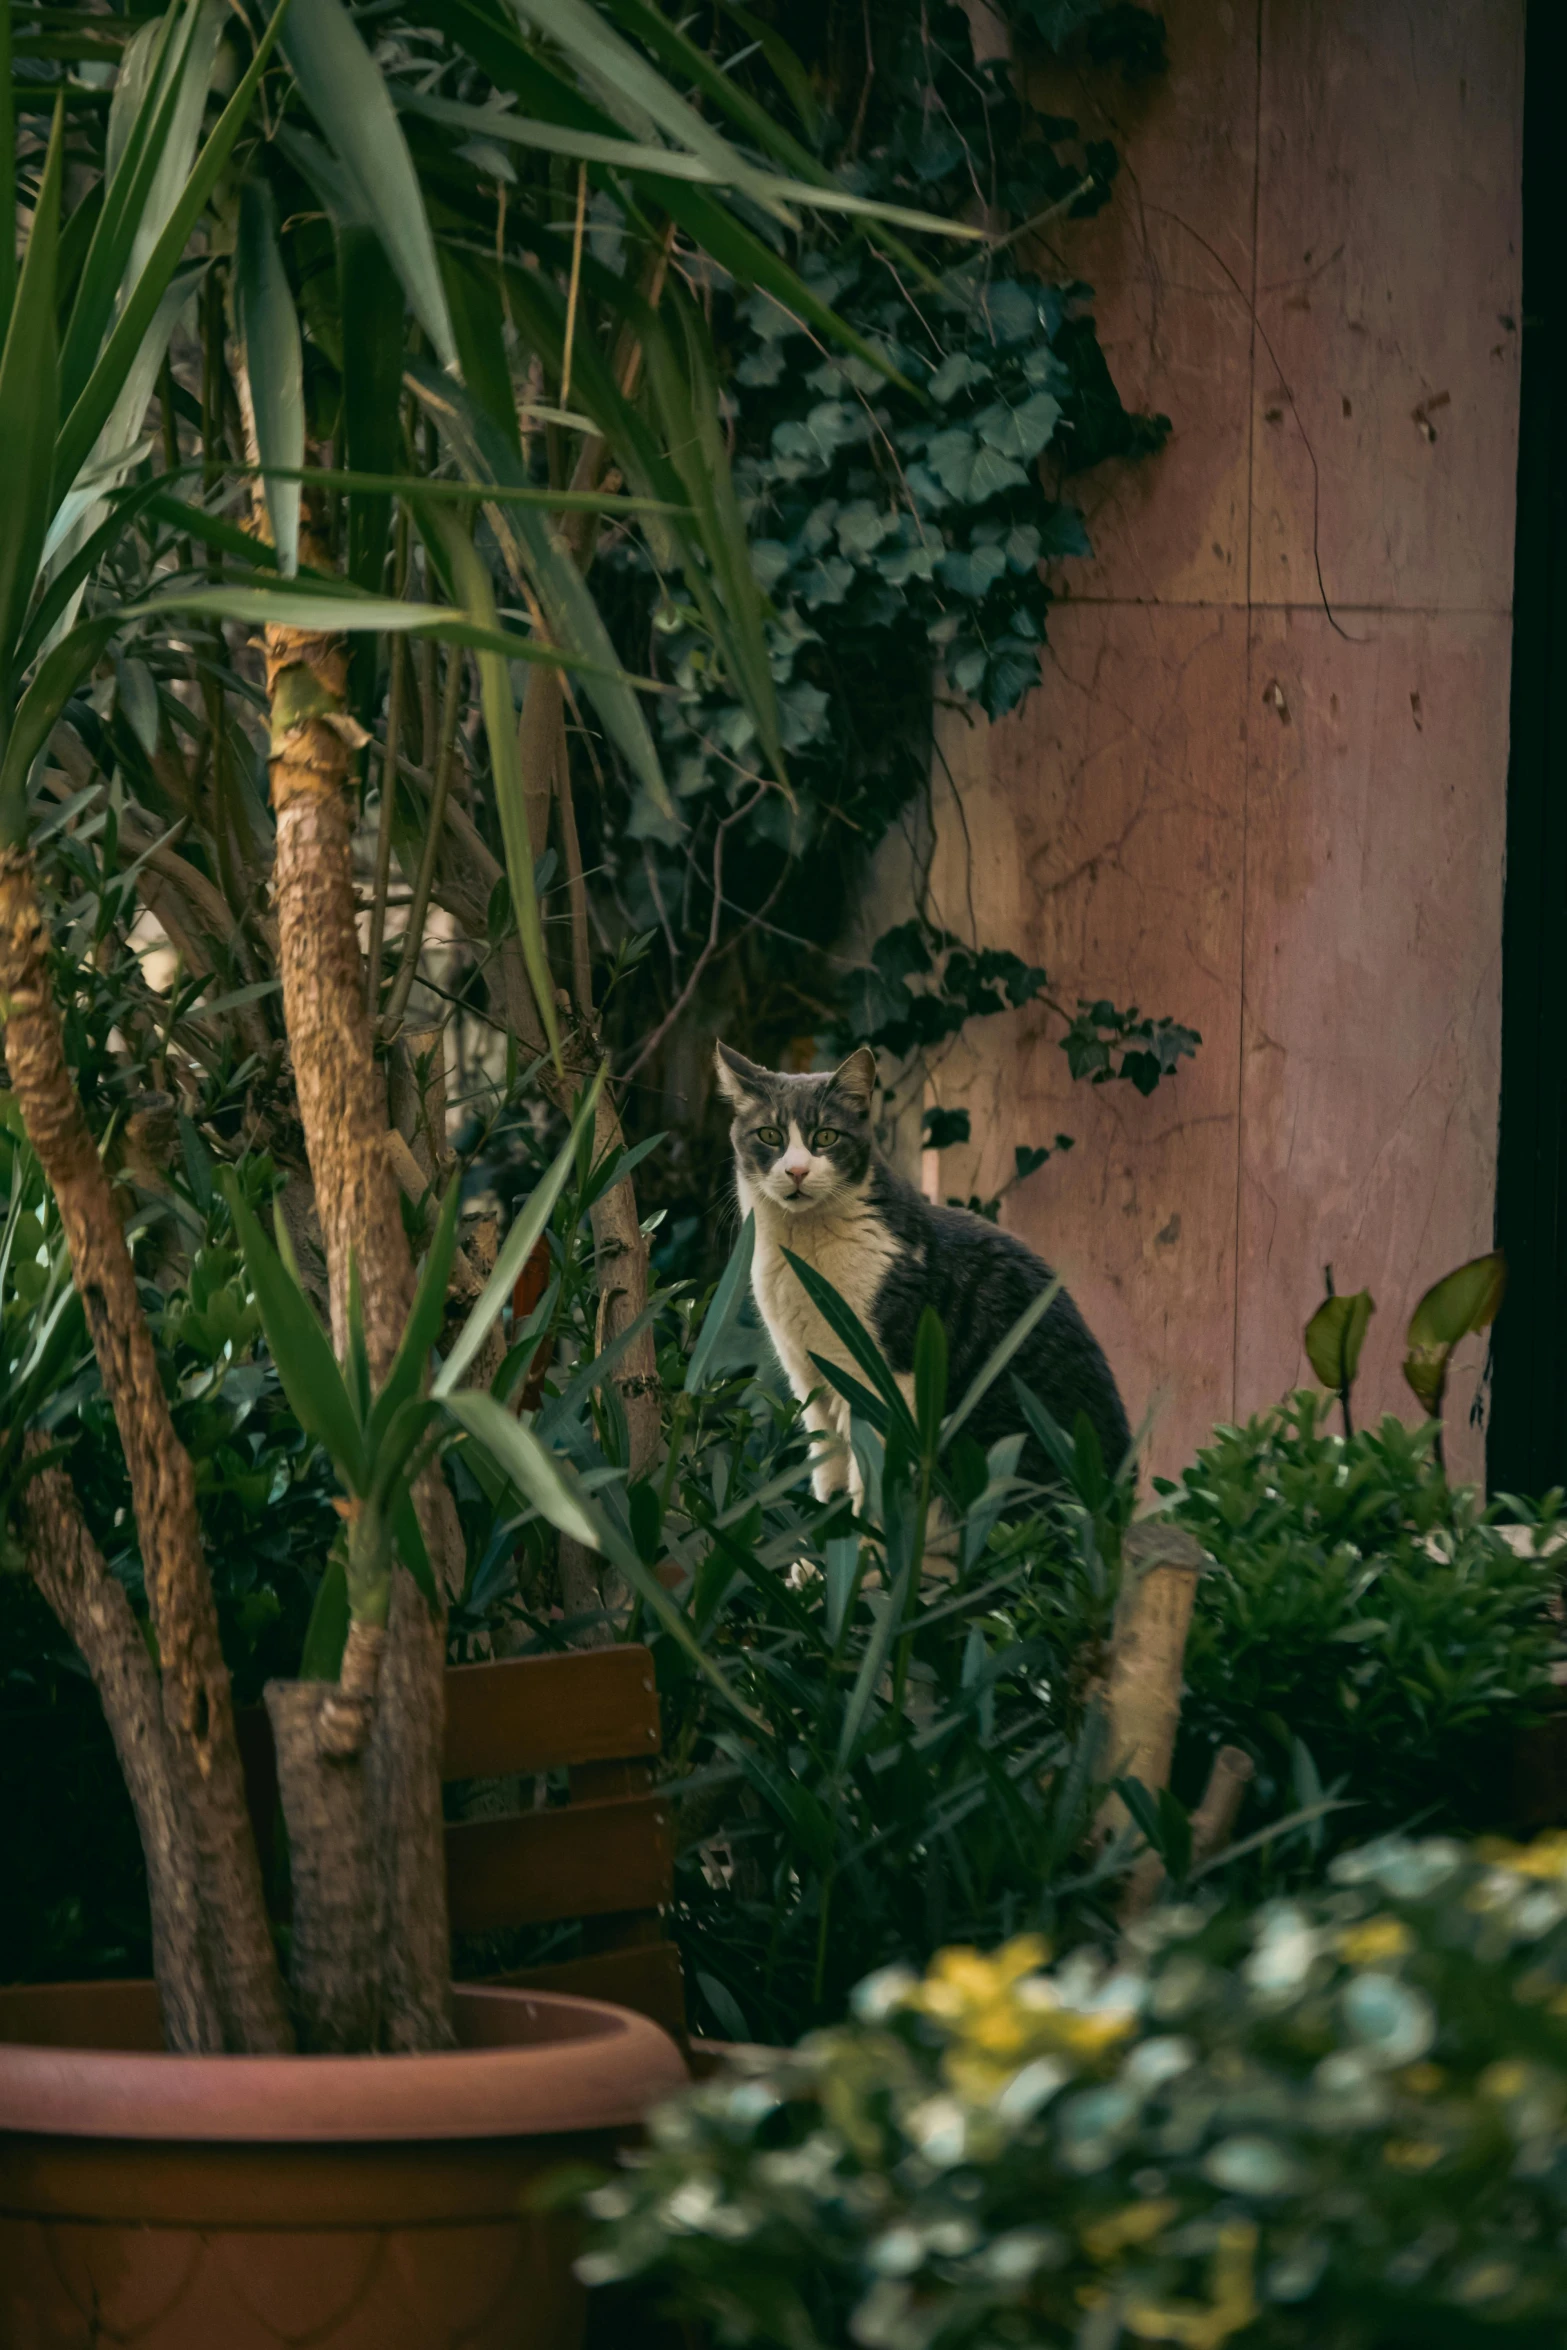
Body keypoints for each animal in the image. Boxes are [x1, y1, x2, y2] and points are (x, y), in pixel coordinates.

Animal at [718, 1043, 1132, 1504]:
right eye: (769, 1136)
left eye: (825, 1136)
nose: (796, 1171)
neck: (803, 1257)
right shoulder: (810, 1382)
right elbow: (828, 1475)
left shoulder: (886, 1379)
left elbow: (874, 1488)